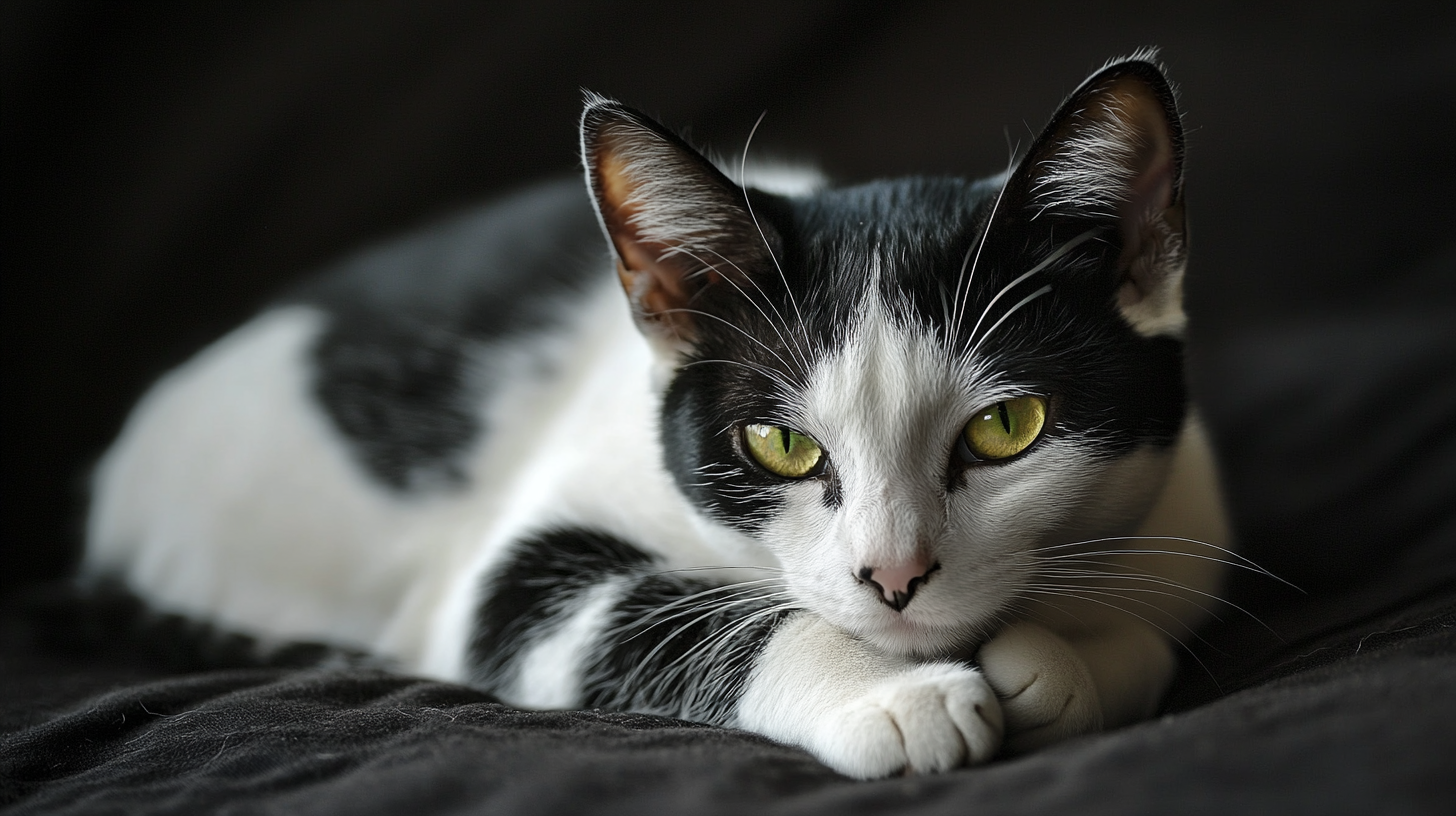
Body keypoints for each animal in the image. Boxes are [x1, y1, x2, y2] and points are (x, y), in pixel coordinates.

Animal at [82, 54, 1228, 781]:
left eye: (1006, 430)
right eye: (780, 443)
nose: (894, 577)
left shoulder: (1188, 514)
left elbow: (1153, 627)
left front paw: (1066, 662)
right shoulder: (510, 571)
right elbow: (659, 610)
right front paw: (887, 698)